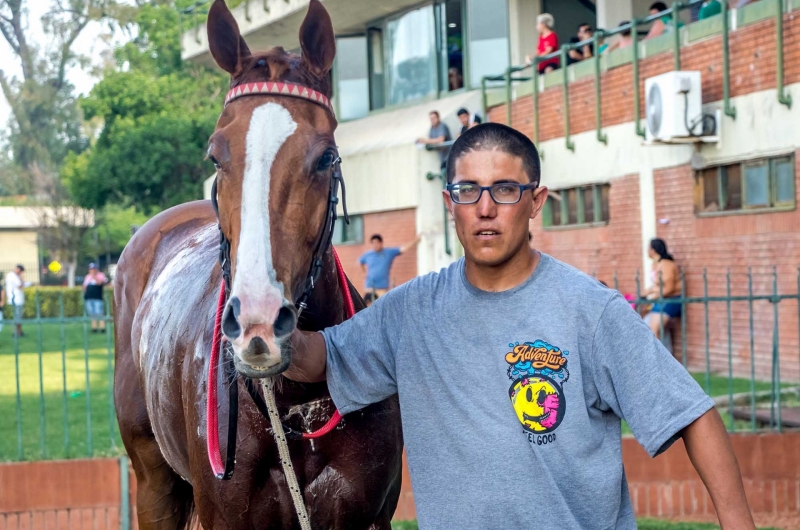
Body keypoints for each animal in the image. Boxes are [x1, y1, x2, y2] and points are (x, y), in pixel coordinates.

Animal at [115, 2, 404, 524]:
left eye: (326, 156)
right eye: (215, 155)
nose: (258, 324)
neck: (295, 403)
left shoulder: (371, 517)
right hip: (152, 483)